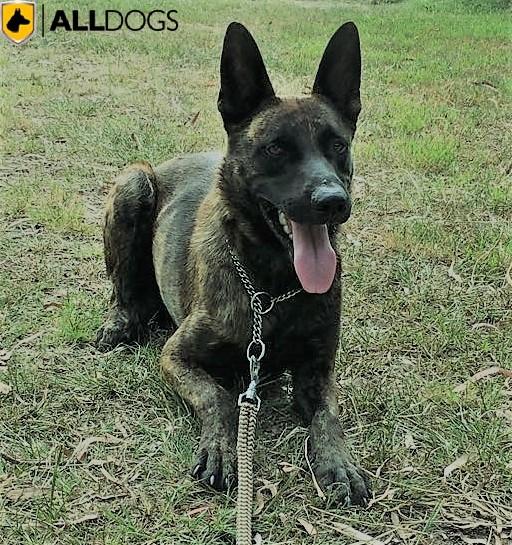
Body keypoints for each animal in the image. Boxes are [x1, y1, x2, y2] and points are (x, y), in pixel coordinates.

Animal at [95, 21, 368, 506]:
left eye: (337, 145)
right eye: (276, 149)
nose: (333, 201)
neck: (272, 287)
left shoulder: (318, 370)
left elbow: (328, 416)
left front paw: (339, 462)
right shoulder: (177, 356)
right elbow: (218, 397)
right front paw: (223, 449)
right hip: (134, 182)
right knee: (122, 289)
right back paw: (121, 320)